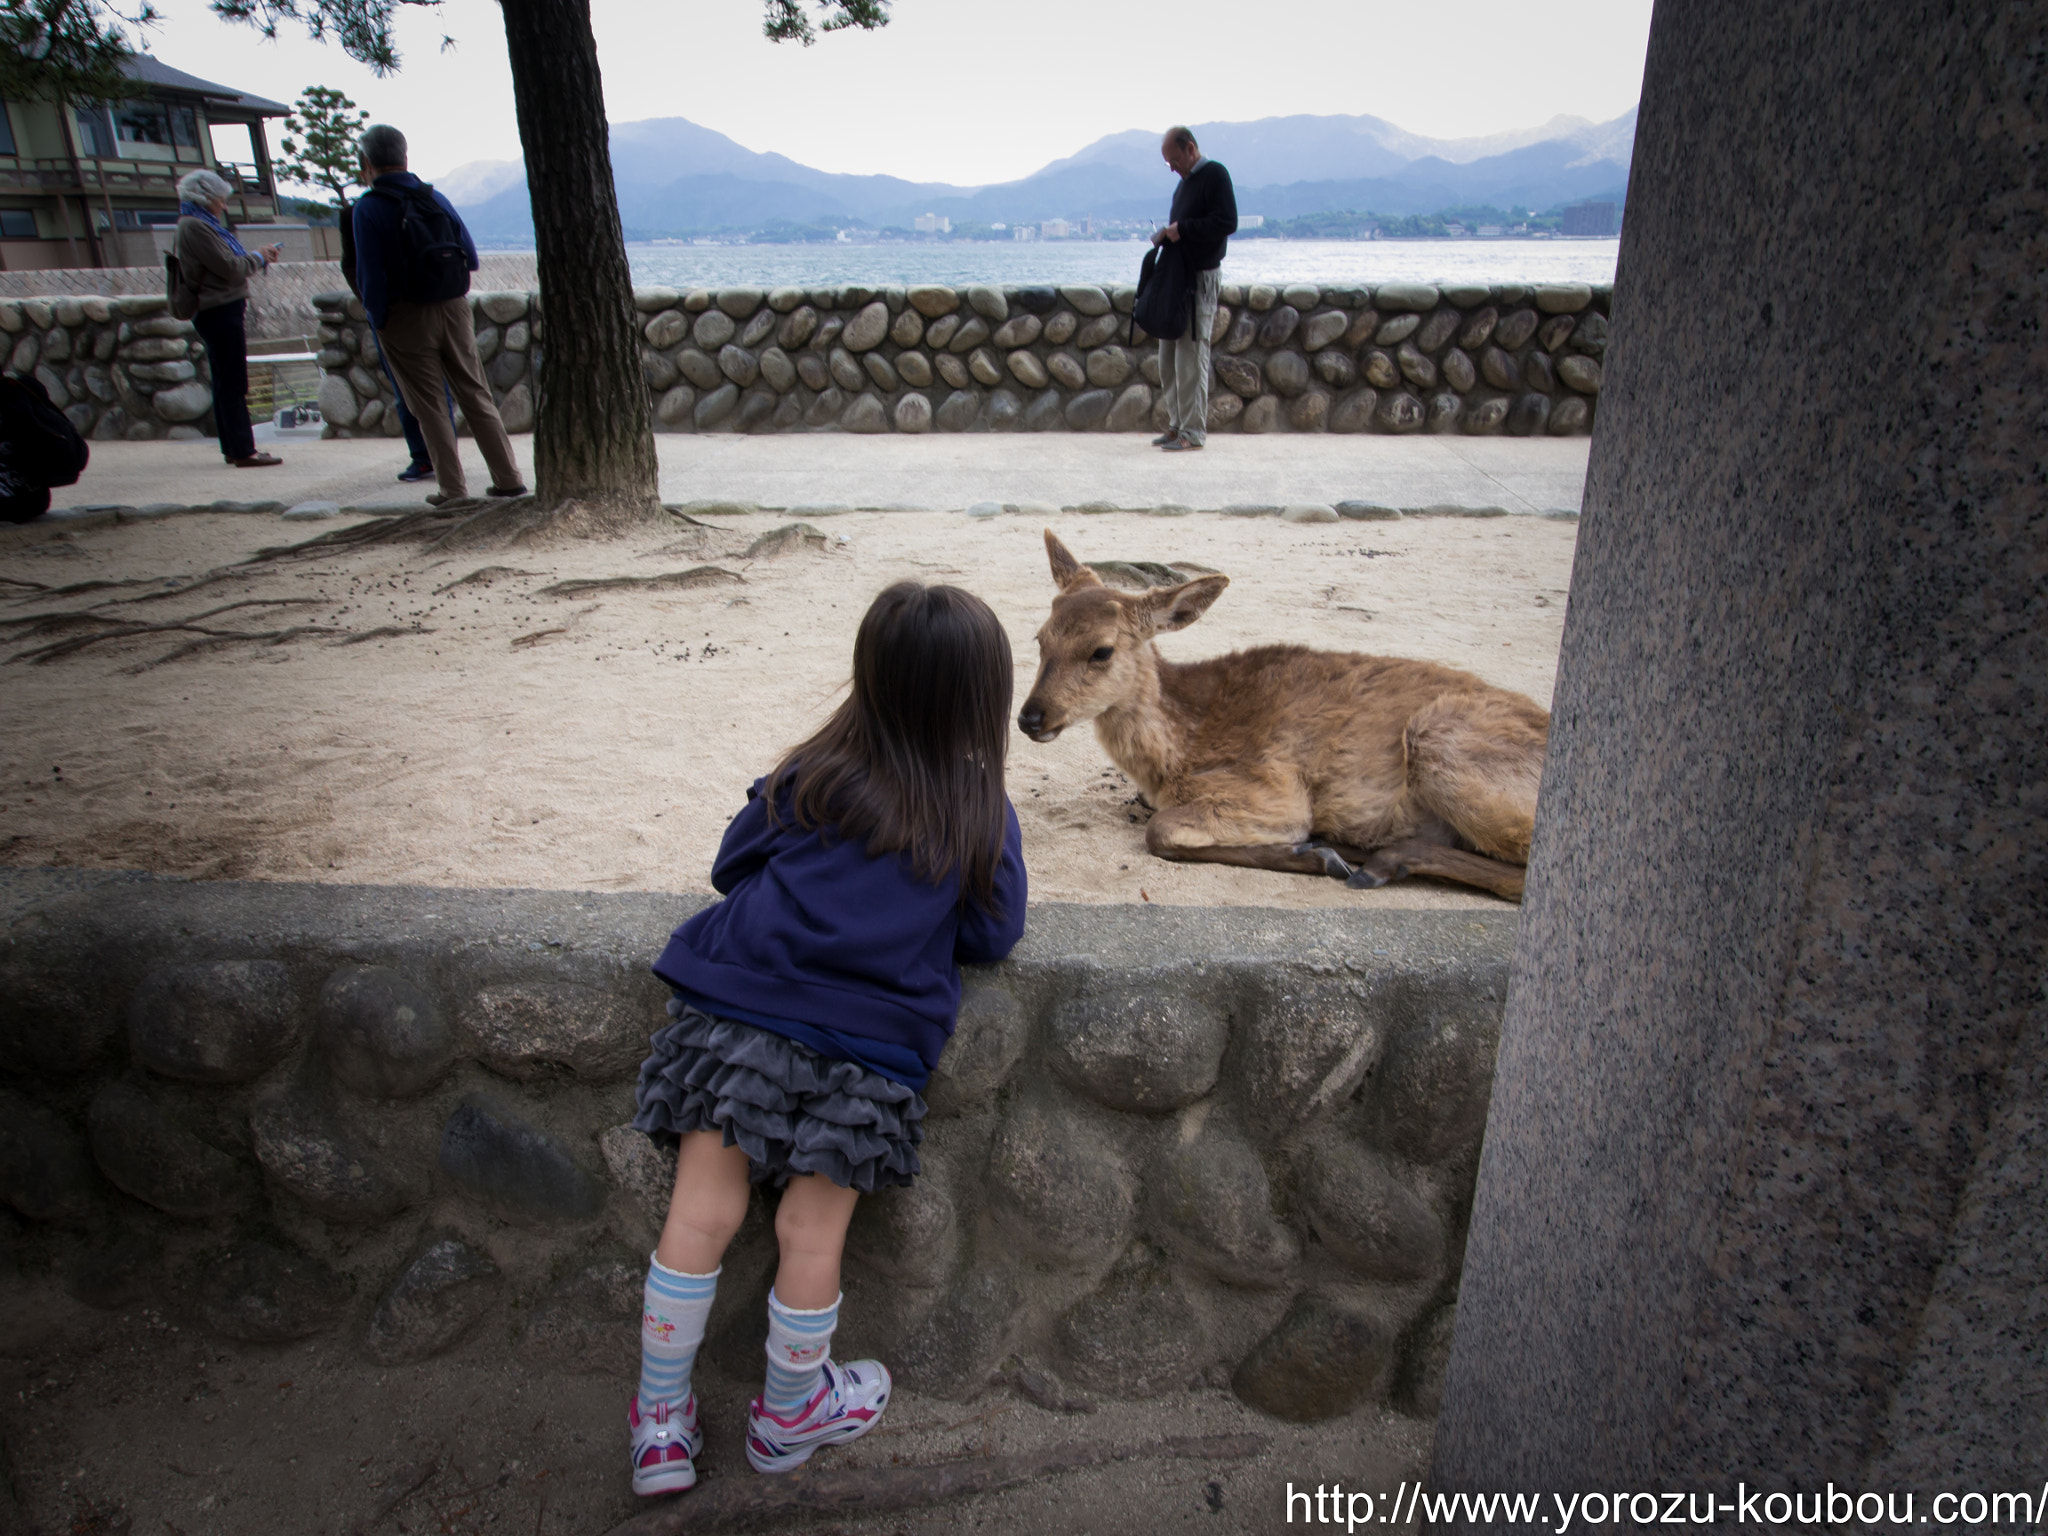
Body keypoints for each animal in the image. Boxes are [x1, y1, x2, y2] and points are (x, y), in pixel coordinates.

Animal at [1024, 528, 1548, 901]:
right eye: (1040, 638)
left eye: (1102, 650)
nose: (1030, 717)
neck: (1176, 752)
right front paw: (1321, 851)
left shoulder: (1272, 789)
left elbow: (1160, 831)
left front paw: (1316, 854)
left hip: (1443, 744)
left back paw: (1376, 862)